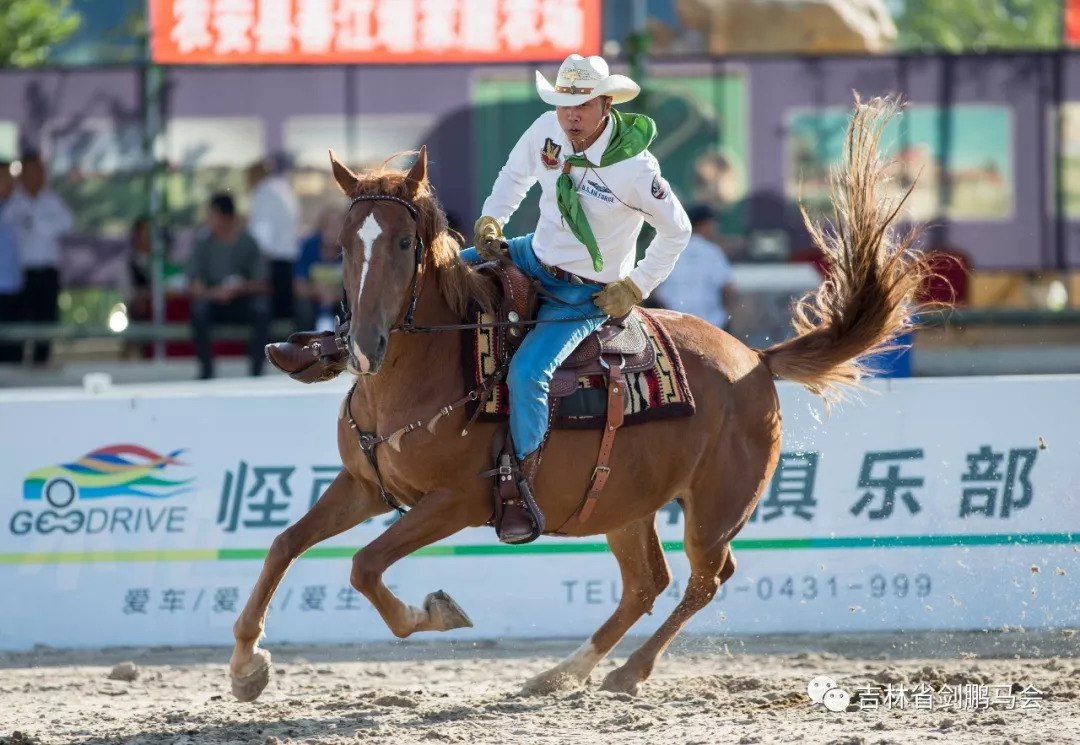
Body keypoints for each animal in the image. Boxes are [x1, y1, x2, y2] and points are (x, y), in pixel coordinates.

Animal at [225, 94, 928, 695]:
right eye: (344, 245)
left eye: (403, 242)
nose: (363, 343)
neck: (429, 368)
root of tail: (755, 361)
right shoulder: (365, 485)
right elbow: (284, 544)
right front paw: (244, 665)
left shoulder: (455, 501)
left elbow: (365, 566)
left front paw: (436, 612)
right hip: (625, 502)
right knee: (647, 583)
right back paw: (562, 673)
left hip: (716, 507)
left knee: (703, 580)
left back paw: (626, 672)